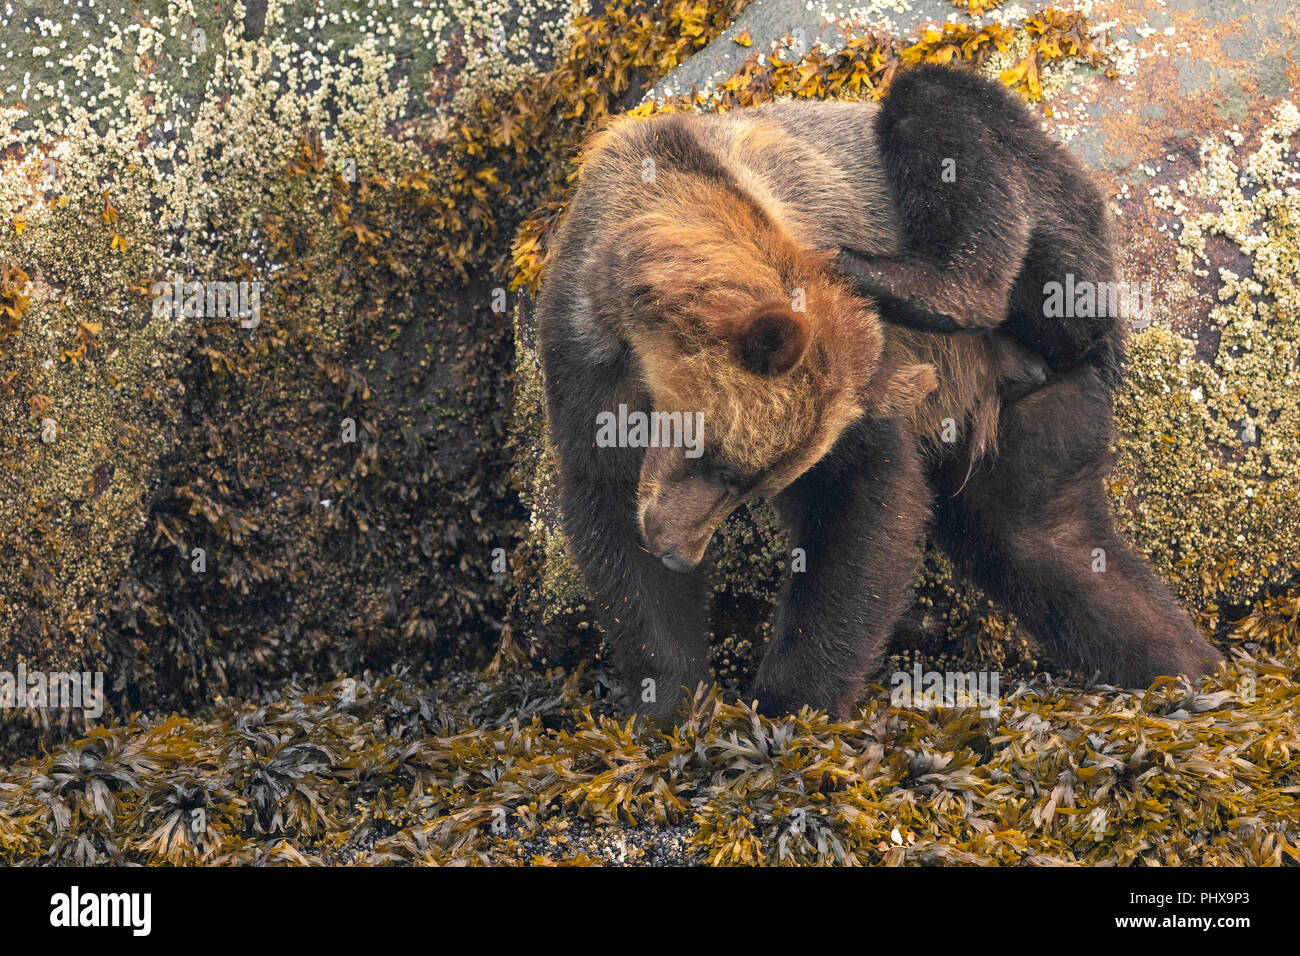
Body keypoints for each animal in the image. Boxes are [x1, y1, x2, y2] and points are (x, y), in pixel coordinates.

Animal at [533, 65, 1222, 717]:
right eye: (717, 462)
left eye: (747, 480)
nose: (678, 550)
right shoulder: (583, 351)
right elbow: (608, 510)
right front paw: (670, 697)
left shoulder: (852, 387)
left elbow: (865, 498)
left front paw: (788, 703)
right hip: (1039, 417)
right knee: (1046, 541)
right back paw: (1187, 667)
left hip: (1054, 244)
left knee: (943, 110)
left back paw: (910, 282)